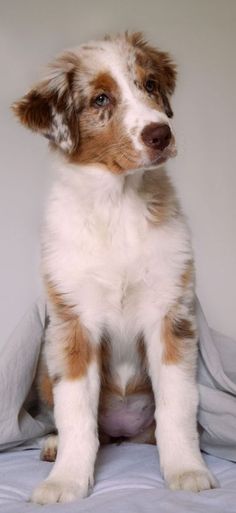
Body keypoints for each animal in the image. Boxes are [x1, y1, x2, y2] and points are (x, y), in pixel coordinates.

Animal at [12, 32, 216, 504]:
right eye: (101, 99)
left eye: (150, 85)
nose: (161, 133)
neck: (118, 204)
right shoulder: (74, 323)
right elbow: (76, 417)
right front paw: (66, 481)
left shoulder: (170, 314)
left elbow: (177, 406)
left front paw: (187, 471)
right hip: (46, 367)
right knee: (85, 426)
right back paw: (53, 446)